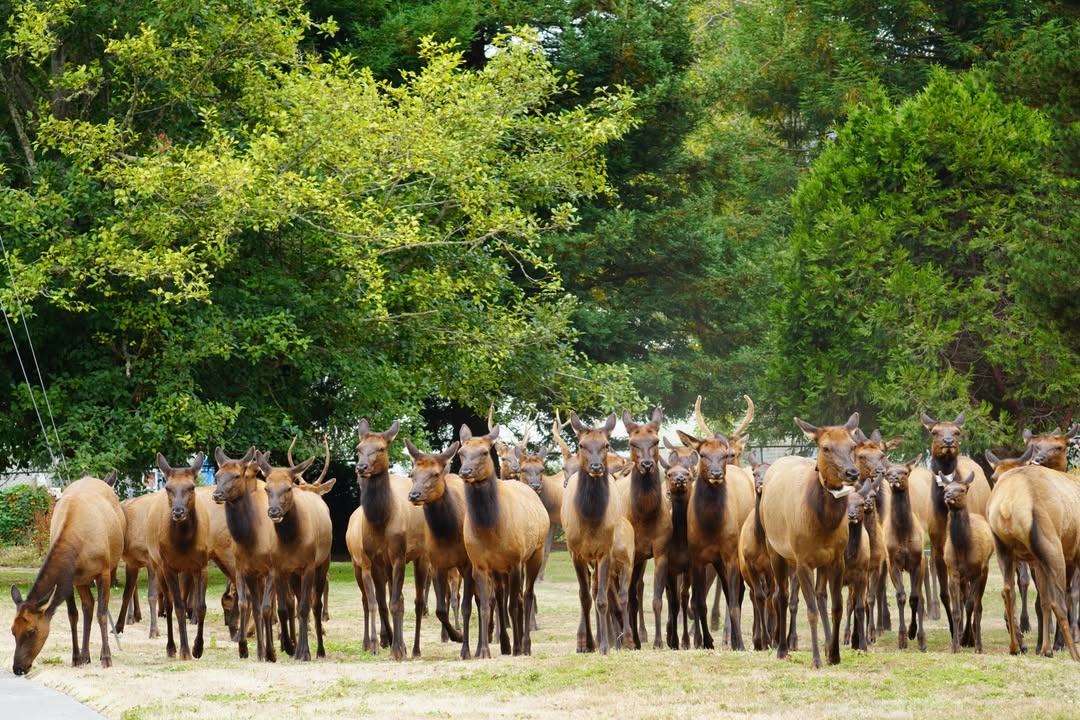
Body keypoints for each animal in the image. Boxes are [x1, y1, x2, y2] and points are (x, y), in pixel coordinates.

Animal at [10, 471, 126, 675]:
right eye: (12, 630)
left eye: (32, 630)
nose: (18, 668)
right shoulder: (69, 578)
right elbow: (73, 615)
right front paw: (76, 657)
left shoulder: (103, 572)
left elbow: (102, 614)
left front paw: (106, 657)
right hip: (82, 579)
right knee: (88, 605)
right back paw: (86, 655)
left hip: (112, 563)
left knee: (98, 607)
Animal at [457, 423, 549, 658]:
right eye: (461, 452)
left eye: (484, 452)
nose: (465, 472)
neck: (490, 529)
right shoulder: (480, 564)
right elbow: (485, 606)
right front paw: (484, 651)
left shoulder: (515, 561)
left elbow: (513, 605)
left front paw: (517, 647)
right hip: (499, 569)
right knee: (500, 597)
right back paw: (506, 645)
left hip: (535, 553)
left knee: (526, 595)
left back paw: (524, 645)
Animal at [759, 412, 862, 669]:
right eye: (826, 447)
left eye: (852, 445)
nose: (852, 473)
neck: (823, 525)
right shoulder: (802, 559)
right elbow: (811, 611)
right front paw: (816, 659)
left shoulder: (837, 559)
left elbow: (835, 606)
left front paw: (833, 653)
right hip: (775, 549)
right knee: (781, 595)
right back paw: (782, 649)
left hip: (818, 562)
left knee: (820, 596)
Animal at [941, 471, 994, 653]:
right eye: (945, 488)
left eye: (962, 489)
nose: (948, 496)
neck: (963, 548)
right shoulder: (953, 573)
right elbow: (957, 609)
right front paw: (955, 645)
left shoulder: (977, 572)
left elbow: (971, 605)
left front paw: (969, 640)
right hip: (964, 578)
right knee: (964, 600)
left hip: (985, 570)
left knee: (978, 606)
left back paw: (977, 642)